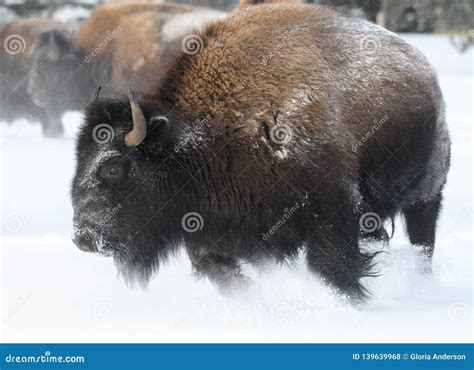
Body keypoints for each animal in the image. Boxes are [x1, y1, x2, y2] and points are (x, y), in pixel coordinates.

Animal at [71, 2, 452, 302]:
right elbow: (220, 270)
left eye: (115, 167)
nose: (83, 238)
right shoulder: (210, 227)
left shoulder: (332, 210)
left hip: (427, 196)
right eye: (79, 160)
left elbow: (335, 269)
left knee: (423, 241)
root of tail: (425, 70)